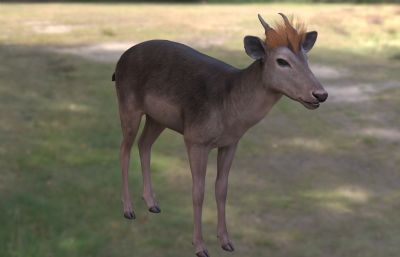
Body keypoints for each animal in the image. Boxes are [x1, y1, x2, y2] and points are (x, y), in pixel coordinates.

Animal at [111, 13, 326, 256]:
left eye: (306, 58)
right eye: (282, 61)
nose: (320, 94)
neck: (230, 108)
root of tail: (120, 61)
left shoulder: (230, 143)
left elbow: (222, 189)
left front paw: (226, 242)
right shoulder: (195, 138)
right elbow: (198, 191)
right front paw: (200, 247)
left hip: (157, 118)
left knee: (144, 144)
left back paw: (152, 203)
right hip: (128, 104)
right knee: (124, 149)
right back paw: (128, 209)